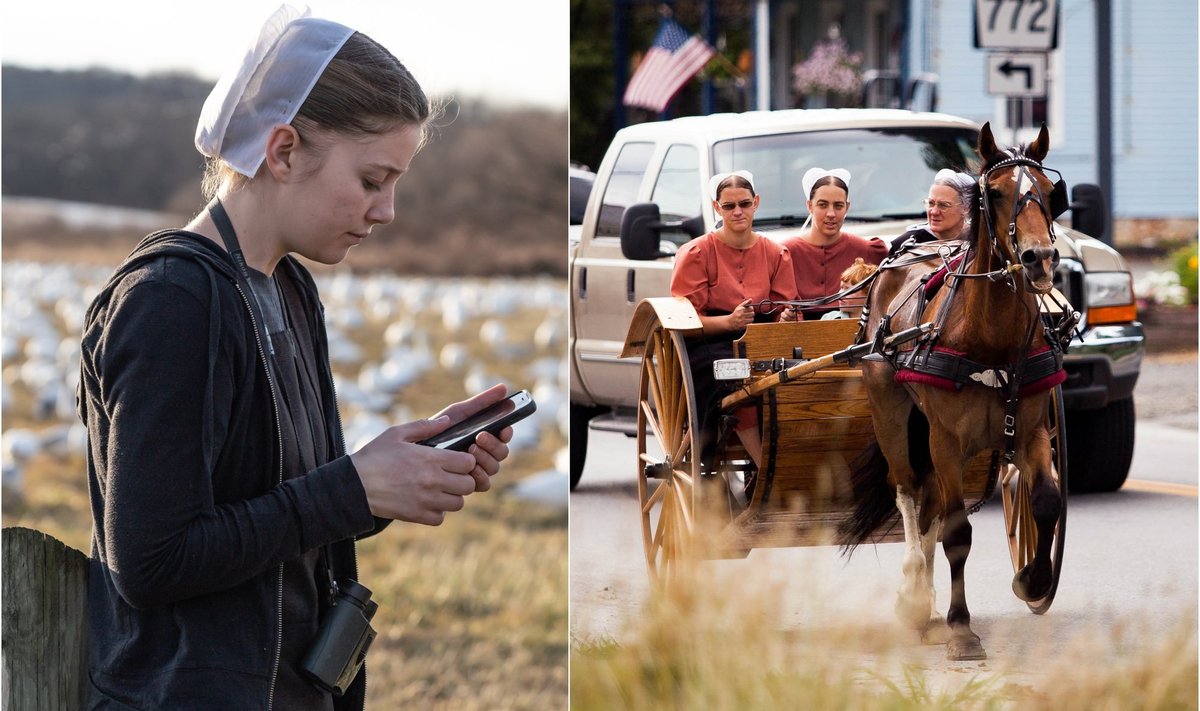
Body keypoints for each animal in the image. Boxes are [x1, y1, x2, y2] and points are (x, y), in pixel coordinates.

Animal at [844, 122, 1070, 662]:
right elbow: (958, 533)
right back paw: (912, 595)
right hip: (892, 413)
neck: (991, 338)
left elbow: (1044, 501)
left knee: (929, 505)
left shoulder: (1031, 430)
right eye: (996, 193)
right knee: (908, 492)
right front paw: (961, 628)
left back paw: (925, 600)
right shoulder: (945, 440)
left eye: (1049, 192)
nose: (1040, 259)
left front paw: (1032, 580)